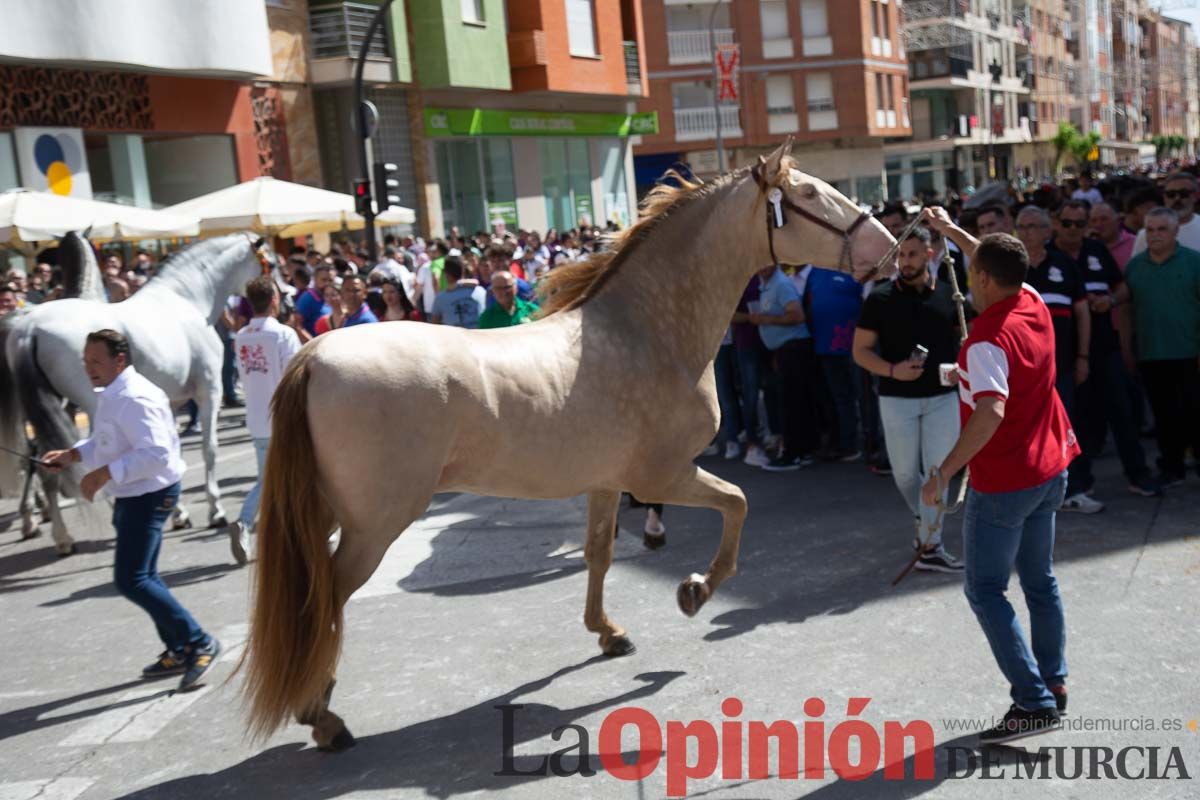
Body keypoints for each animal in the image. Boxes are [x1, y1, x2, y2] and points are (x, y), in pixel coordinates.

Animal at [0, 235, 265, 554]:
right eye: (268, 263)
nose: (279, 294)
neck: (186, 298)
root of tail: (29, 328)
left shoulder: (168, 404)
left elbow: (164, 453)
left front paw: (177, 512)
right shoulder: (209, 393)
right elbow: (208, 449)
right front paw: (214, 510)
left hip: (49, 412)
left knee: (43, 466)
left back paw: (61, 536)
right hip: (88, 408)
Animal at [243, 142, 897, 753]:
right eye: (808, 196)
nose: (889, 249)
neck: (648, 332)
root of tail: (314, 354)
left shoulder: (608, 482)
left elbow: (599, 555)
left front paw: (609, 633)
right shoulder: (662, 476)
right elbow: (737, 504)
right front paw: (694, 592)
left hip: (330, 513)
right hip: (374, 524)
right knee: (324, 599)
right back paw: (322, 714)